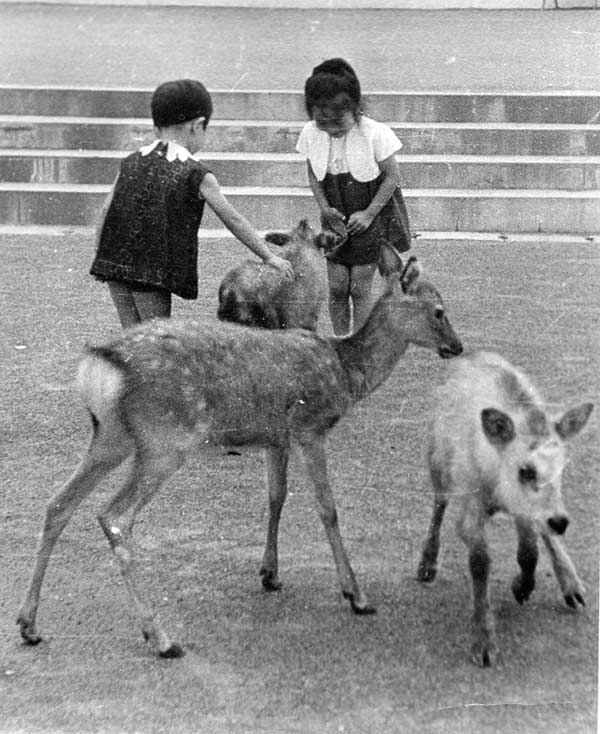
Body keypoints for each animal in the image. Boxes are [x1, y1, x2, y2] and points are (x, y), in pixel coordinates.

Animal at [16, 260, 462, 660]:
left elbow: (276, 496)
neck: (346, 373)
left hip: (112, 436)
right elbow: (327, 508)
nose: (457, 347)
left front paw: (270, 574)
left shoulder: (276, 437)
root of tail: (100, 363)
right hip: (165, 440)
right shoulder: (309, 426)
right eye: (439, 310)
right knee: (113, 517)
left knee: (58, 504)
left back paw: (29, 624)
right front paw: (356, 594)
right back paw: (161, 638)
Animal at [420, 354, 592, 668]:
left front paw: (522, 587)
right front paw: (484, 644)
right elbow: (480, 562)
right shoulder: (470, 506)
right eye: (525, 470)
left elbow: (529, 551)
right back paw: (426, 564)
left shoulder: (526, 509)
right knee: (439, 505)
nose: (561, 521)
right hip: (437, 461)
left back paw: (572, 586)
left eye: (562, 467)